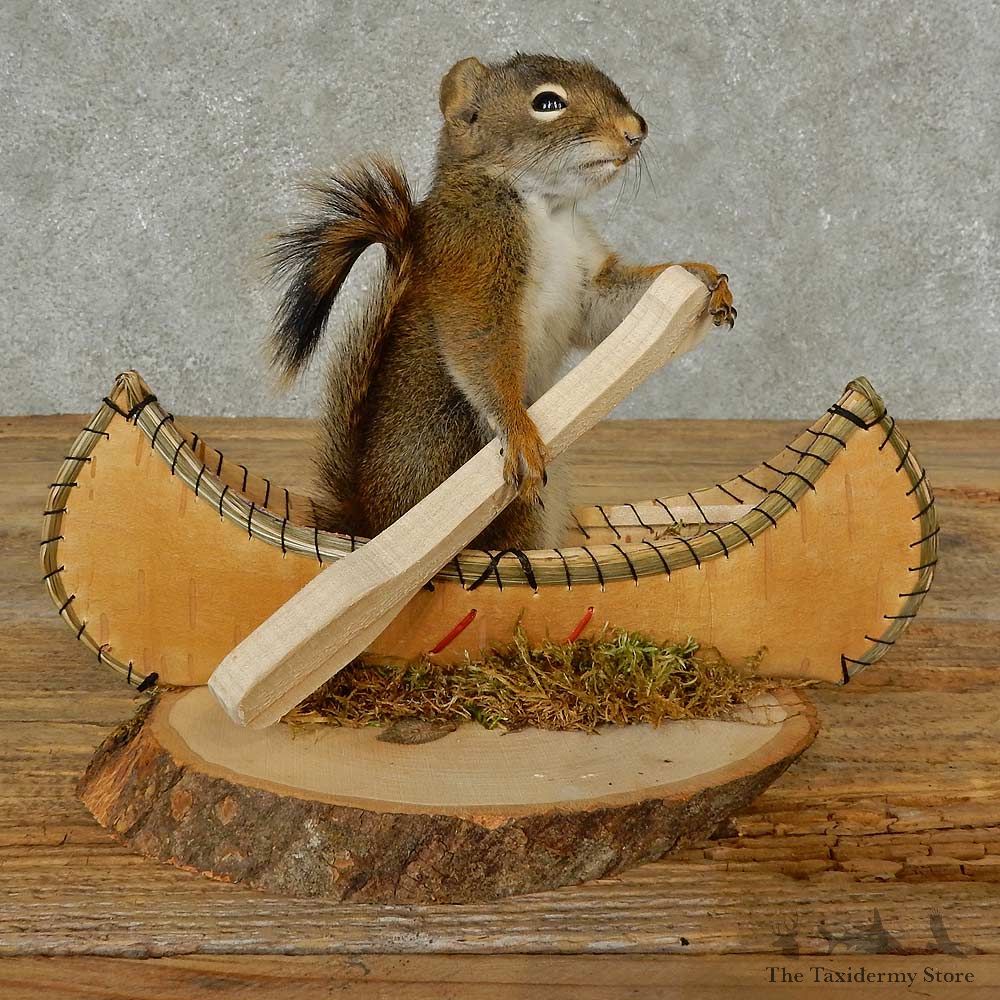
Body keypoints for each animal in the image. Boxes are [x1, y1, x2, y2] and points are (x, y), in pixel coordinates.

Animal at [269, 53, 735, 550]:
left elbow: (611, 311)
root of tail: (370, 524)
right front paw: (518, 430)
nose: (636, 130)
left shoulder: (588, 285)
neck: (546, 207)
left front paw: (704, 279)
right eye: (547, 103)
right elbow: (481, 343)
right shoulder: (475, 256)